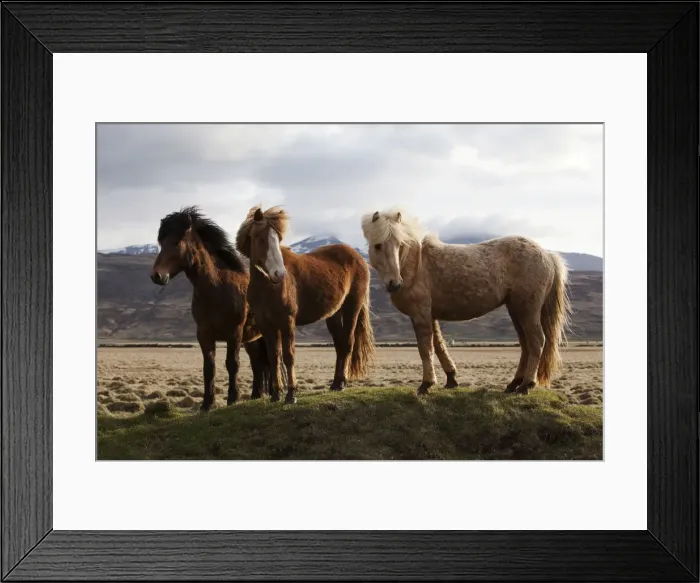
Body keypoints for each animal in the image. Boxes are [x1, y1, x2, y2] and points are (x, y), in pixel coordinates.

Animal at [150, 206, 271, 411]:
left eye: (176, 241)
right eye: (161, 243)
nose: (156, 275)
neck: (217, 288)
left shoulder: (234, 333)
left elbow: (232, 364)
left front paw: (232, 399)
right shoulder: (204, 334)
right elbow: (209, 367)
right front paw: (207, 404)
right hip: (252, 339)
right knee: (258, 362)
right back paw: (256, 395)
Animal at [235, 205, 376, 404]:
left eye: (277, 239)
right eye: (260, 238)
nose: (279, 274)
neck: (266, 286)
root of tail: (358, 257)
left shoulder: (287, 321)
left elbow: (288, 356)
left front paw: (291, 394)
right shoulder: (266, 324)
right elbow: (274, 357)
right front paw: (276, 394)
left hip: (352, 307)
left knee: (348, 342)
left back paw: (342, 383)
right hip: (334, 314)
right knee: (340, 345)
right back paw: (335, 383)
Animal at [361, 208, 572, 396]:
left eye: (400, 244)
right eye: (378, 245)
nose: (395, 284)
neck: (415, 265)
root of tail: (548, 254)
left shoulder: (420, 313)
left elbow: (425, 348)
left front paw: (426, 384)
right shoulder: (429, 314)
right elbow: (438, 344)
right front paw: (451, 379)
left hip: (528, 309)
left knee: (536, 341)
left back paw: (526, 385)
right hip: (516, 310)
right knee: (526, 344)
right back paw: (513, 384)